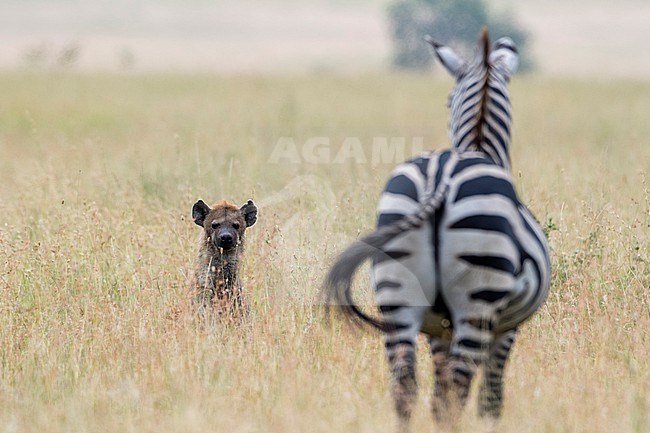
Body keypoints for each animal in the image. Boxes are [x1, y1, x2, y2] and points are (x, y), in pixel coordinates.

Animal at [322, 28, 548, 430]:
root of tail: (440, 177)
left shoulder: (438, 330)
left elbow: (436, 392)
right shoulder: (505, 329)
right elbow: (490, 397)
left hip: (397, 294)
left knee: (405, 386)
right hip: (477, 300)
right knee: (458, 389)